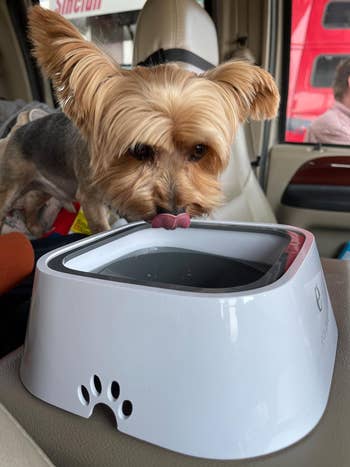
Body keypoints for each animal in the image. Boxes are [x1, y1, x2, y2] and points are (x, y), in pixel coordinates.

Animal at [0, 6, 280, 234]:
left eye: (199, 150)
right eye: (139, 150)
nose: (174, 213)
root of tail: (18, 128)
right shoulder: (90, 199)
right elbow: (101, 227)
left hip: (43, 186)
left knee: (33, 202)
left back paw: (36, 228)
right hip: (11, 185)